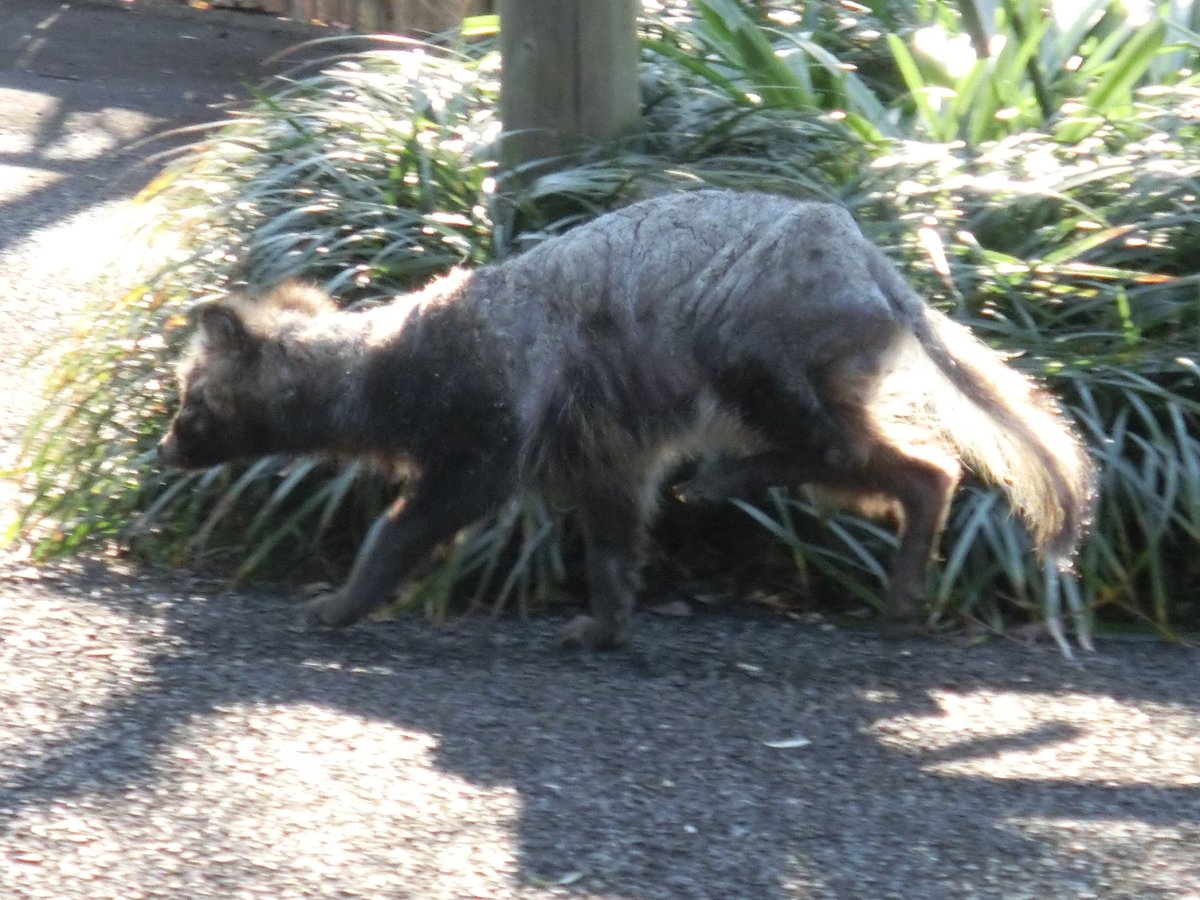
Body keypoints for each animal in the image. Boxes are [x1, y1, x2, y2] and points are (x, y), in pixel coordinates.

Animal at [159, 192, 1099, 648]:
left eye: (192, 400)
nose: (164, 448)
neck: (387, 362)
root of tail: (871, 262)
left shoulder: (491, 423)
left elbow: (414, 522)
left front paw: (344, 600)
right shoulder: (600, 450)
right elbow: (612, 540)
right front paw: (608, 621)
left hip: (749, 333)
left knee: (824, 441)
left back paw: (734, 476)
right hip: (822, 366)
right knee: (909, 465)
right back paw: (910, 545)